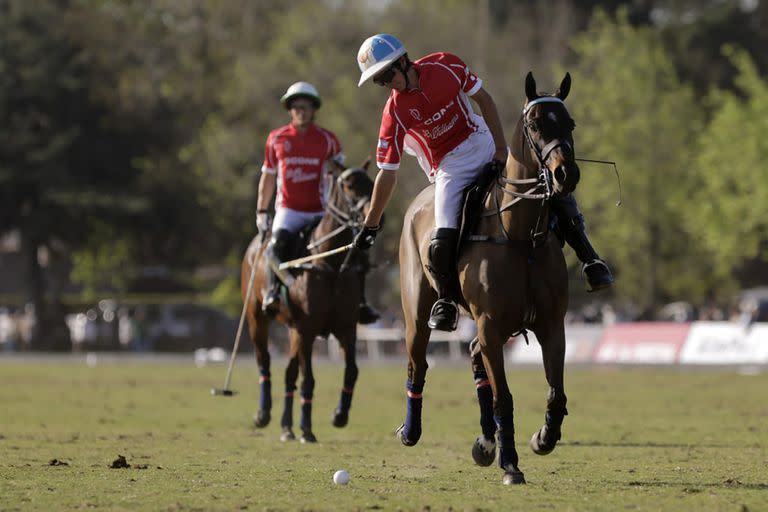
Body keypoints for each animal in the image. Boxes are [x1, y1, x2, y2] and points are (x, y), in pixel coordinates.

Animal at [240, 161, 372, 444]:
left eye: (371, 183)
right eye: (348, 185)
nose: (374, 216)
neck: (330, 265)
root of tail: (257, 243)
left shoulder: (346, 329)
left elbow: (352, 371)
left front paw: (339, 416)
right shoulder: (307, 330)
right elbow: (309, 379)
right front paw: (307, 429)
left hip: (292, 331)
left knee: (289, 373)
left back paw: (286, 427)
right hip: (258, 318)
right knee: (264, 361)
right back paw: (263, 414)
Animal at [400, 72, 580, 484]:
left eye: (570, 123)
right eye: (535, 124)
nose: (566, 175)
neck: (519, 234)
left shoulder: (551, 325)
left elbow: (557, 393)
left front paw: (542, 438)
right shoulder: (491, 325)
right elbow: (504, 398)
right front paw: (511, 464)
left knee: (473, 357)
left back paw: (486, 441)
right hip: (417, 312)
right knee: (418, 363)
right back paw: (411, 431)